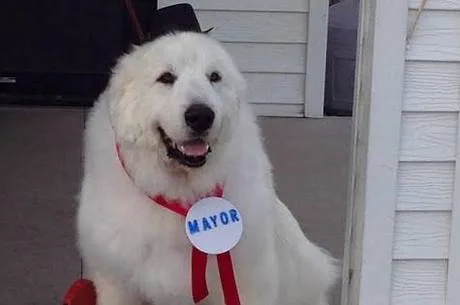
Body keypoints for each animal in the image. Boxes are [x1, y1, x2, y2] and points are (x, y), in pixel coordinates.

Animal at [77, 31, 338, 304]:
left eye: (214, 76)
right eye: (166, 78)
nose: (201, 115)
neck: (180, 194)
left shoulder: (248, 284)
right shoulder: (117, 284)